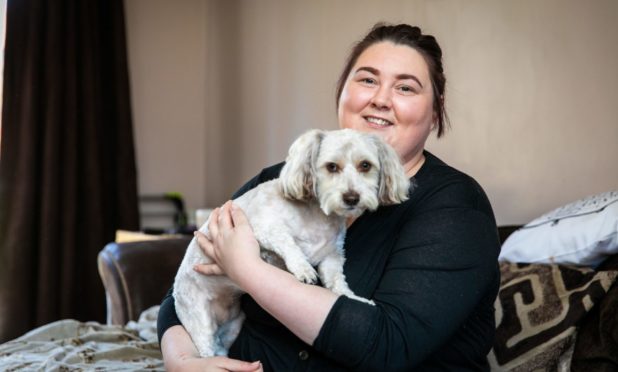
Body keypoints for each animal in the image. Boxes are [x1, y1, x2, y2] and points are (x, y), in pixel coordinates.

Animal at [172, 129, 410, 358]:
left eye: (365, 165)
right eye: (332, 167)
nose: (351, 198)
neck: (319, 215)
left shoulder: (332, 256)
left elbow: (337, 282)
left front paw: (354, 298)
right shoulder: (264, 228)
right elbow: (288, 243)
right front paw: (302, 268)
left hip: (234, 325)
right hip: (199, 320)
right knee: (207, 349)